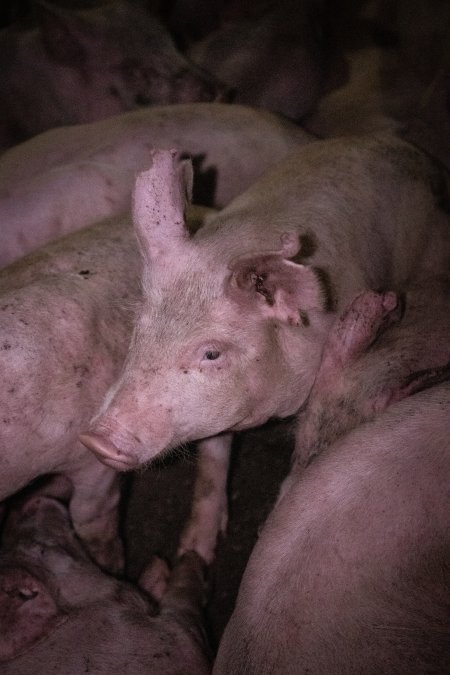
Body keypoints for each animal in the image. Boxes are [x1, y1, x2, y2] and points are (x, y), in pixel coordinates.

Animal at [0, 476, 212, 675]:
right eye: (40, 548)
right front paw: (190, 557)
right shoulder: (171, 637)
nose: (28, 501)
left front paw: (157, 564)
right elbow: (185, 608)